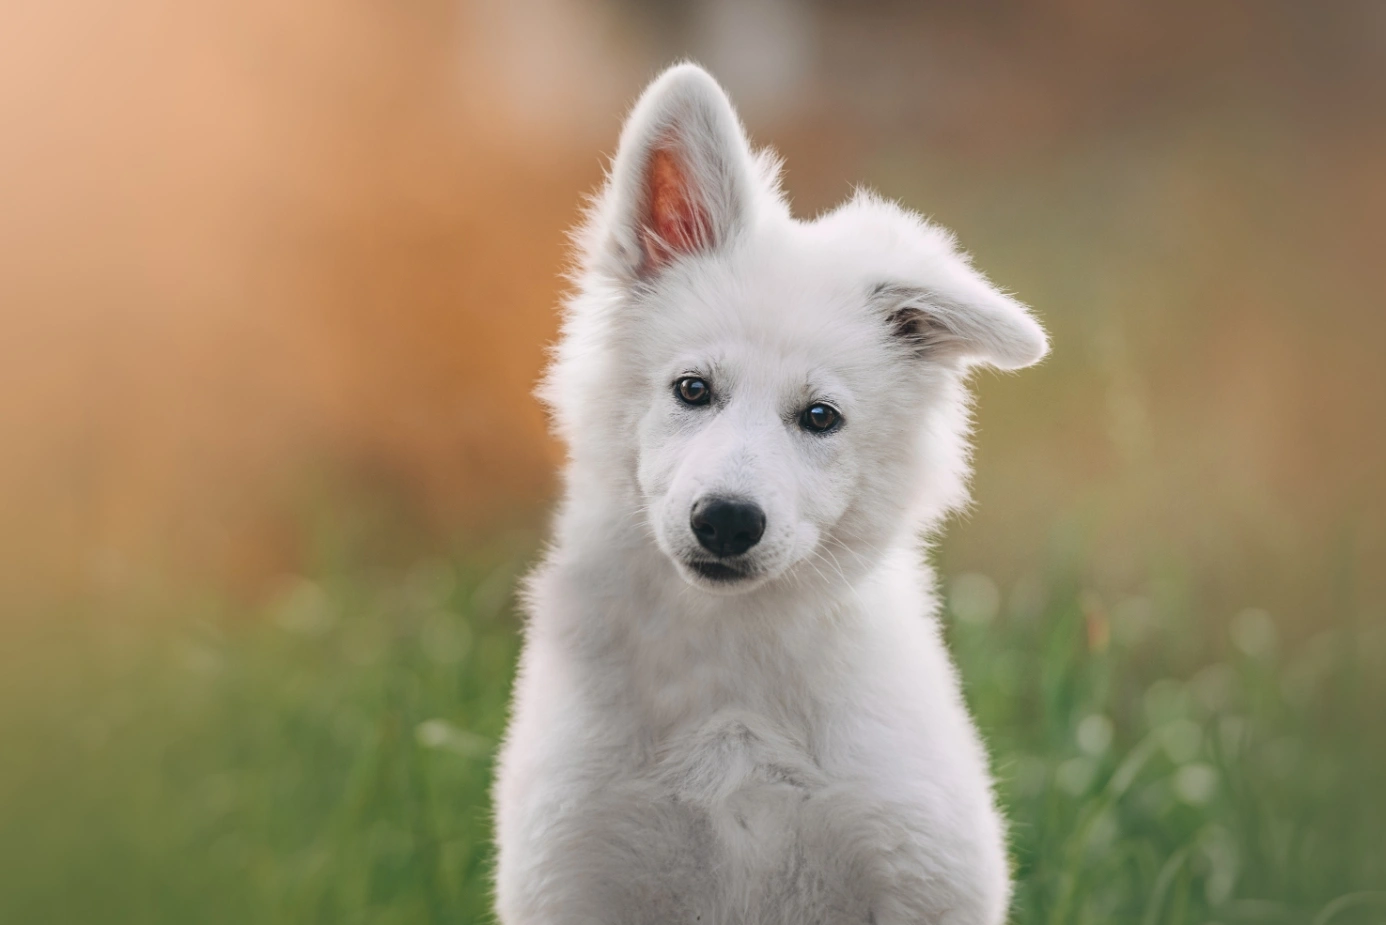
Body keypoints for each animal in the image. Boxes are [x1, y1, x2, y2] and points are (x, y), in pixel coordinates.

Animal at [493, 65, 1042, 925]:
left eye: (820, 417)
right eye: (692, 388)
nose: (725, 521)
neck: (731, 672)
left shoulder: (916, 870)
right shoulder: (574, 871)